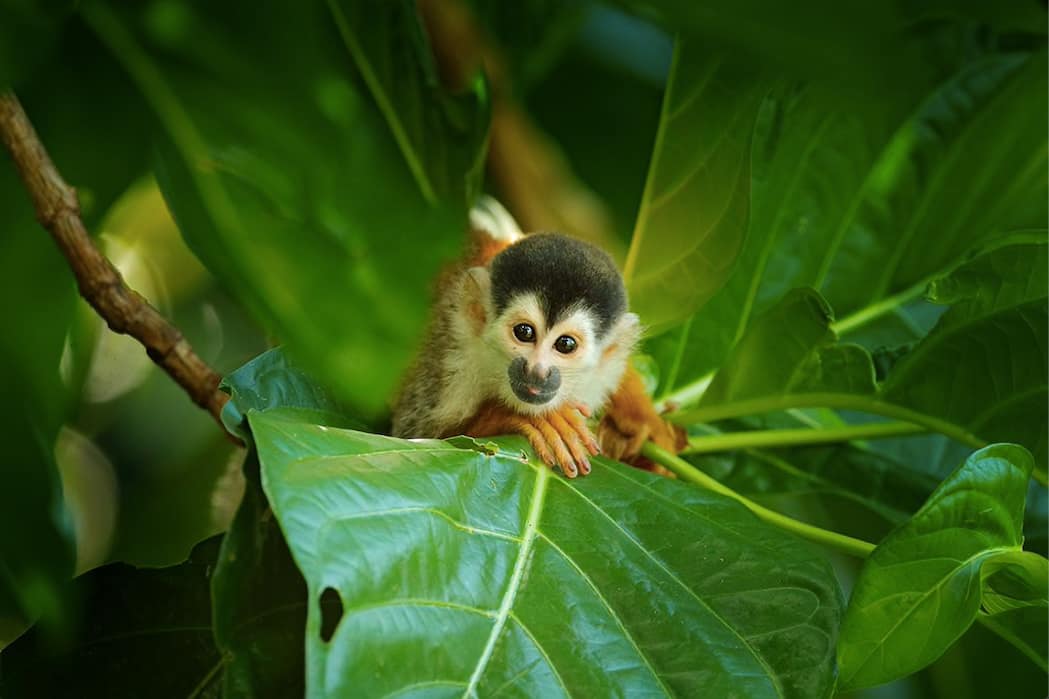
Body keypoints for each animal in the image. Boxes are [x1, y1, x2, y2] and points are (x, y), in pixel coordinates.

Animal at [391, 197, 684, 478]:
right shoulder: (447, 362)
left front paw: (640, 420)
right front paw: (518, 417)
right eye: (524, 332)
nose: (537, 371)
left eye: (565, 344)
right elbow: (423, 436)